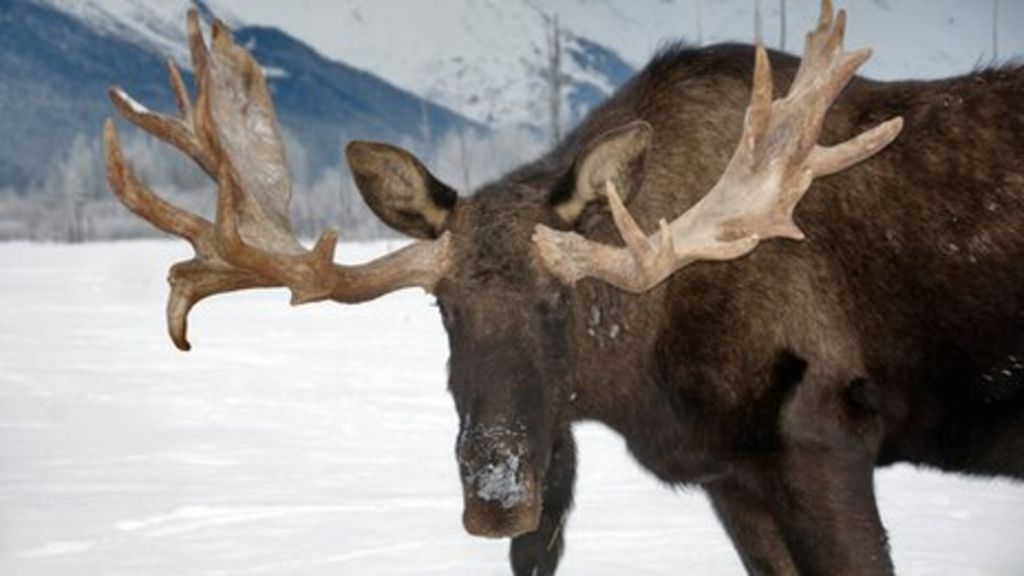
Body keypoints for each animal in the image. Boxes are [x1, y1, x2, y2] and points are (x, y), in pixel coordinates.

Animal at [104, 2, 1024, 574]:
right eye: (442, 309)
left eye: (561, 302)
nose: (497, 496)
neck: (646, 380)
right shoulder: (733, 477)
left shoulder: (824, 434)